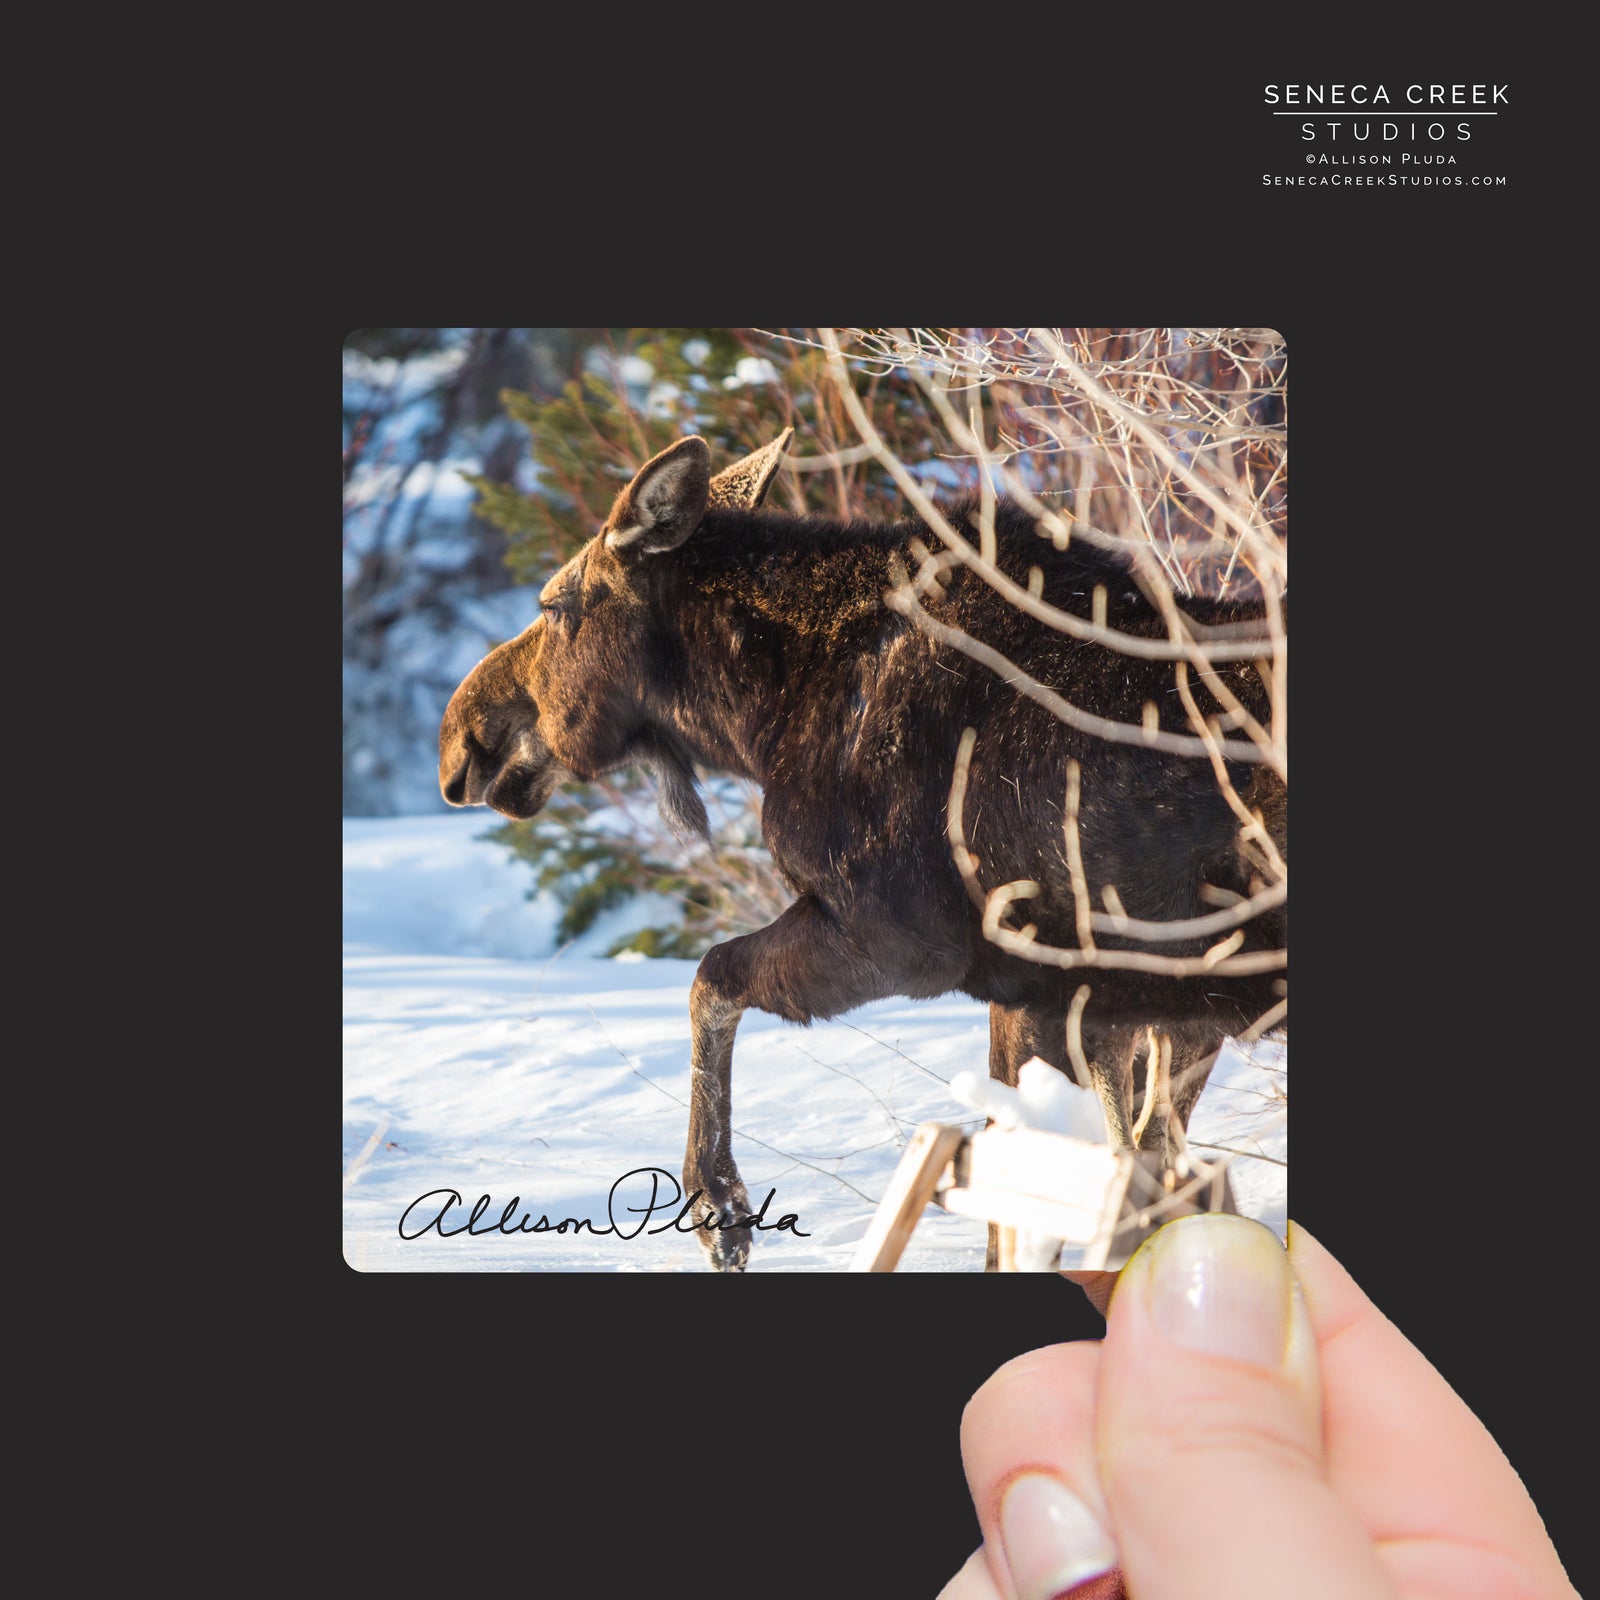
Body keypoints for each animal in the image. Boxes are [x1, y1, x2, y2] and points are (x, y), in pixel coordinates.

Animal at [439, 428, 1287, 1270]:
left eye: (556, 607)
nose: (461, 735)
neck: (759, 721)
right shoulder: (1109, 1004)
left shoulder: (898, 941)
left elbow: (711, 979)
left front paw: (719, 1204)